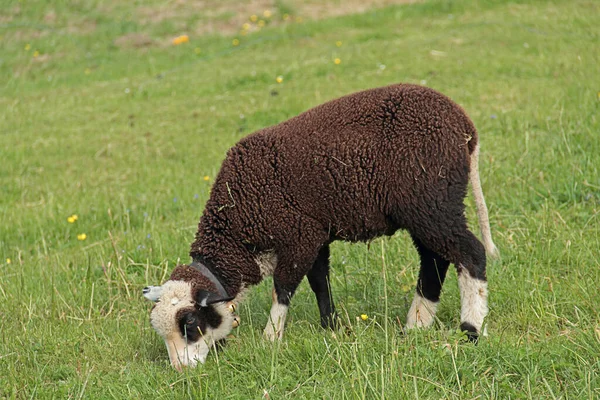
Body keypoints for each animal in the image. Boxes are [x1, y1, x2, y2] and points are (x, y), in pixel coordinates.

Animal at [143, 83, 500, 368]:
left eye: (190, 323)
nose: (181, 370)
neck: (238, 223)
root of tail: (464, 126)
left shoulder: (299, 236)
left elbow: (284, 287)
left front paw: (271, 337)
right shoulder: (315, 235)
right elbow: (319, 282)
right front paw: (331, 326)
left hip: (432, 201)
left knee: (470, 254)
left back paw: (470, 329)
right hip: (424, 208)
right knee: (434, 259)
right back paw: (416, 325)